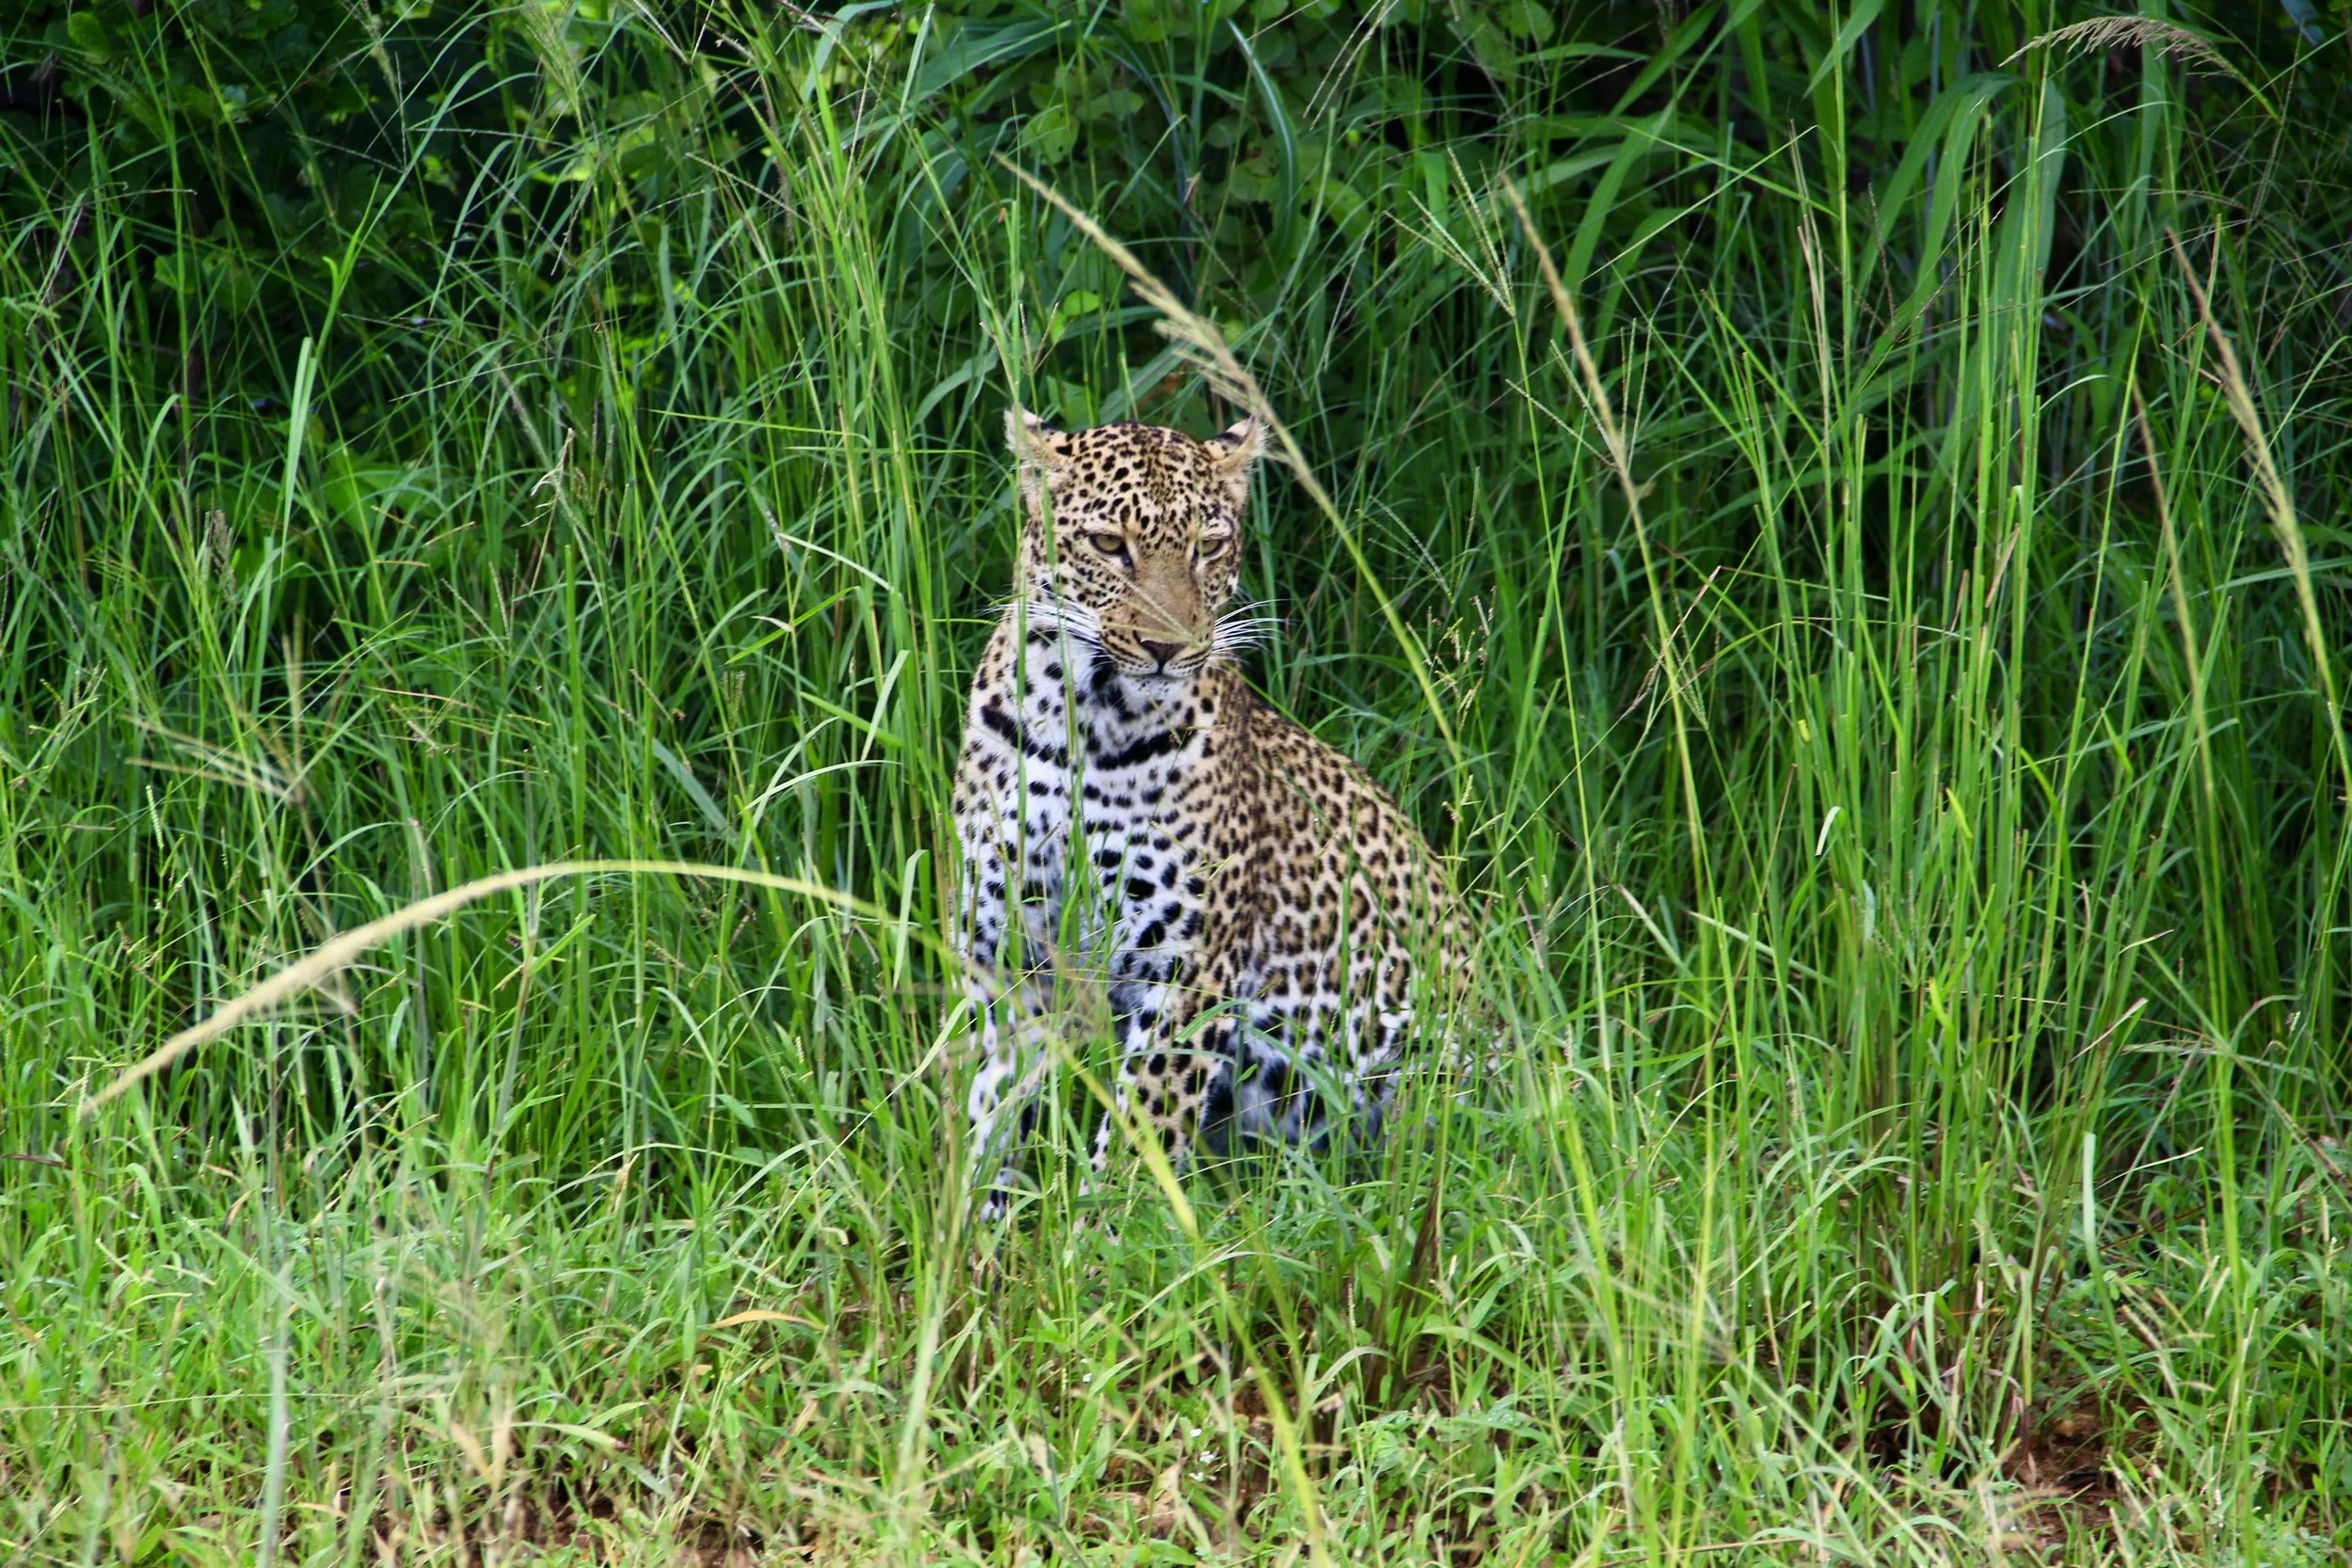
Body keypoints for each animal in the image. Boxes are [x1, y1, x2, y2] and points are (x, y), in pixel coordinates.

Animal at [951, 408, 1469, 1213]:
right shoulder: (1003, 952)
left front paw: (1102, 1238)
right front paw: (976, 1232)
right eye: (1109, 545)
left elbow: (1139, 1138)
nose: (1169, 648)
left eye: (1208, 545)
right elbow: (992, 1114)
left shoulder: (1187, 970)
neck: (1082, 727)